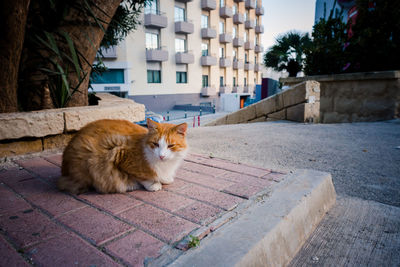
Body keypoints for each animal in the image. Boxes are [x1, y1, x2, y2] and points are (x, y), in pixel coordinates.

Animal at [57, 119, 188, 195]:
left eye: (170, 146)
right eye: (155, 144)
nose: (161, 156)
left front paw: (165, 179)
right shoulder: (120, 155)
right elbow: (141, 177)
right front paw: (153, 184)